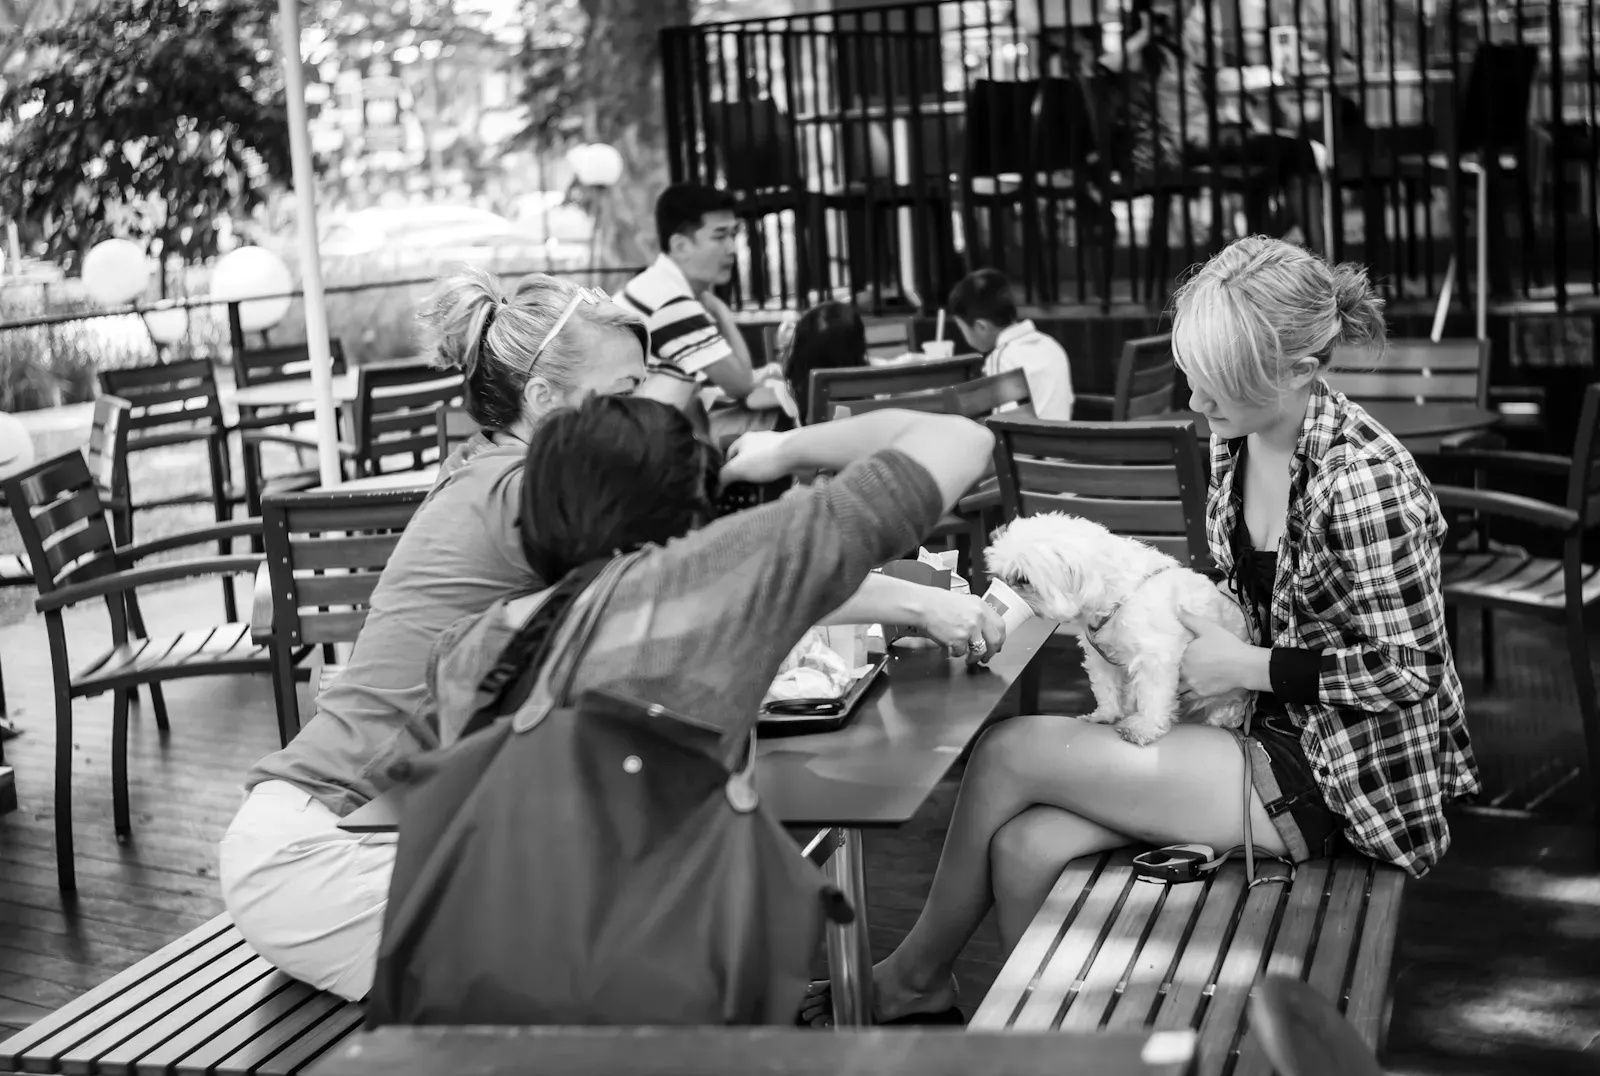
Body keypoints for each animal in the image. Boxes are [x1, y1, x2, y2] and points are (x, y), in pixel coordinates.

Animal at [979, 509, 1254, 742]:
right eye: (998, 573)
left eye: (1023, 579)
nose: (997, 583)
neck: (1116, 598)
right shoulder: (1101, 657)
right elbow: (1106, 688)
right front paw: (1106, 715)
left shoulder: (1156, 656)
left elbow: (1153, 695)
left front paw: (1144, 727)